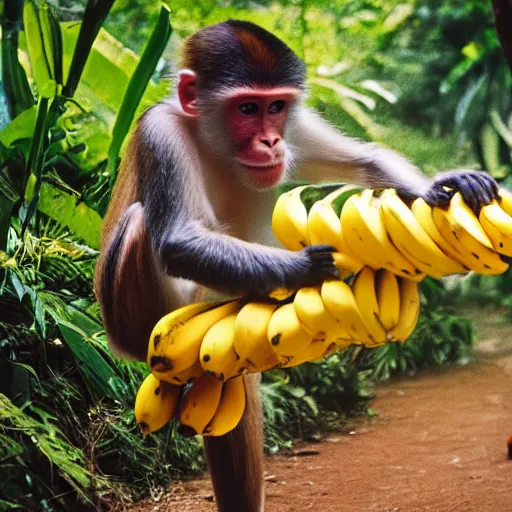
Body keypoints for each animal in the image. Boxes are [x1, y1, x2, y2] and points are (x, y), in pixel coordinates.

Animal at [93, 20, 500, 512]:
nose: (271, 141)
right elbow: (178, 241)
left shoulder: (295, 124)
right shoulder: (161, 133)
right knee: (140, 225)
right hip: (142, 327)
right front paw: (313, 268)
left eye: (275, 107)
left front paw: (438, 186)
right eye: (247, 108)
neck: (212, 143)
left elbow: (365, 159)